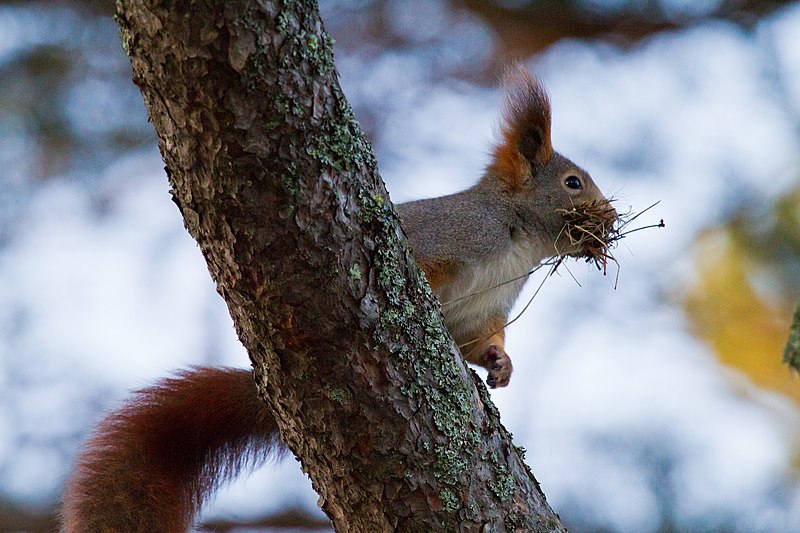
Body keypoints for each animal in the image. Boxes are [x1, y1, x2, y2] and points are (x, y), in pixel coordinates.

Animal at [62, 69, 612, 528]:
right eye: (573, 182)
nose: (609, 218)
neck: (517, 243)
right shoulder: (448, 239)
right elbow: (424, 271)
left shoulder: (488, 309)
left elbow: (481, 342)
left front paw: (502, 365)